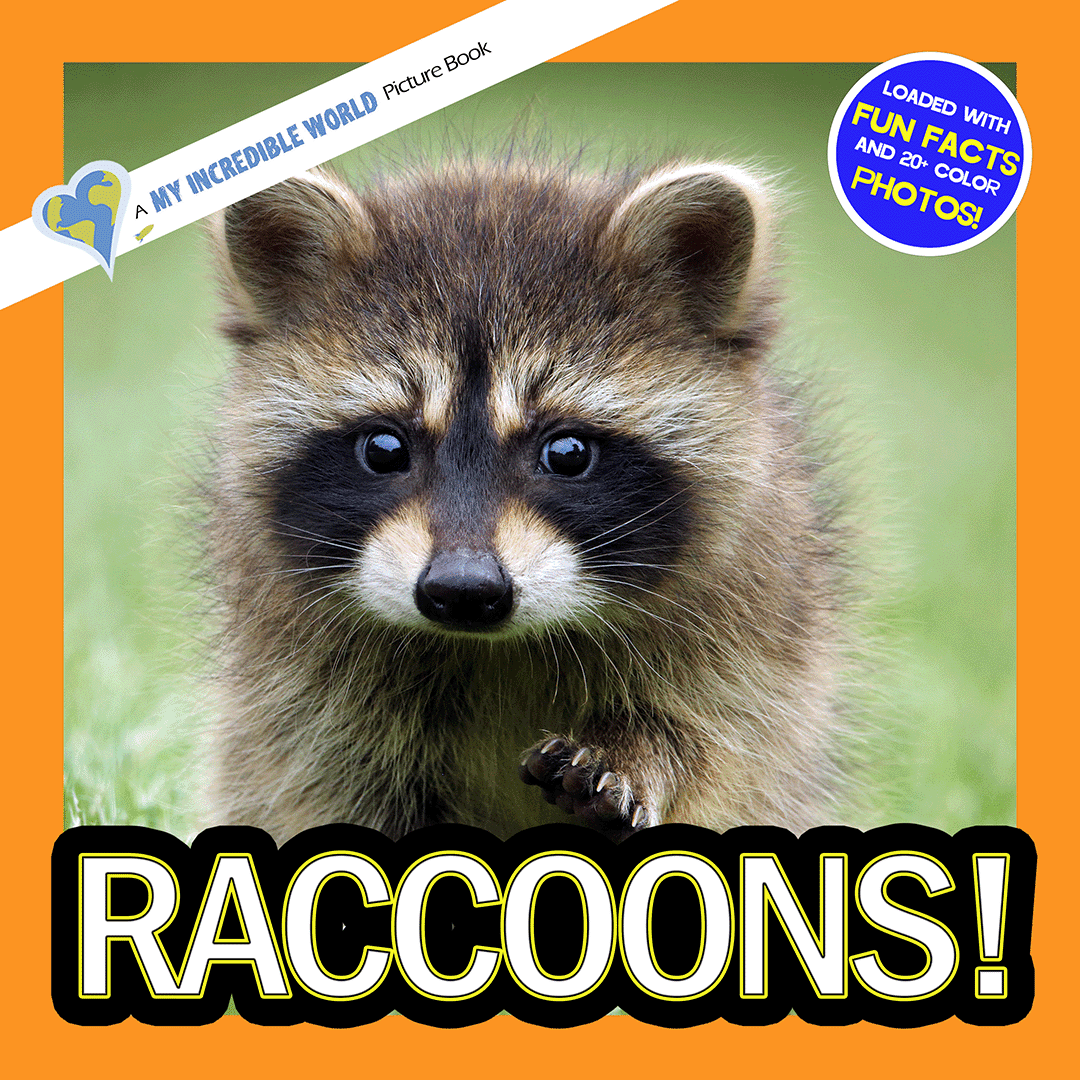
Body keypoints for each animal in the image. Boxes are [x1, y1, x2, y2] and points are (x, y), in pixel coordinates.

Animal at [204, 157, 850, 843]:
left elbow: (720, 745)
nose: (463, 589)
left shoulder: (749, 637)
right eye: (383, 448)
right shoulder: (298, 684)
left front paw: (635, 754)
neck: (496, 648)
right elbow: (322, 779)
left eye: (566, 453)